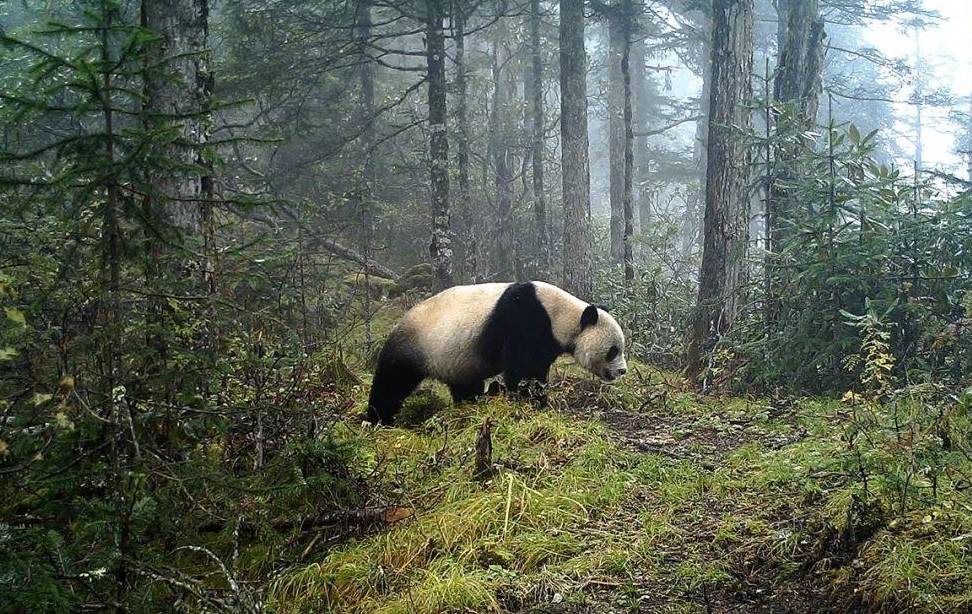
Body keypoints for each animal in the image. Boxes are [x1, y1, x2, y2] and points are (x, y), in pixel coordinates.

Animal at [366, 282, 632, 426]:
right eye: (613, 350)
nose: (622, 371)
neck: (562, 314)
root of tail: (400, 321)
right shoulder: (525, 319)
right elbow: (523, 370)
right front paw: (534, 402)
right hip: (416, 344)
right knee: (392, 381)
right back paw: (377, 419)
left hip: (456, 357)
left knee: (464, 384)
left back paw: (472, 401)